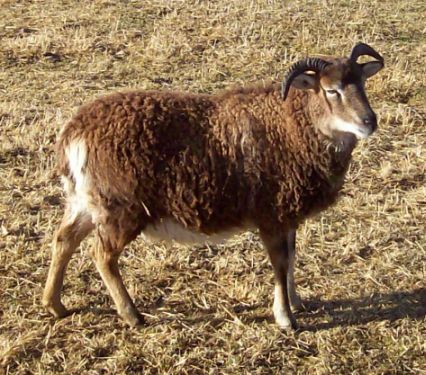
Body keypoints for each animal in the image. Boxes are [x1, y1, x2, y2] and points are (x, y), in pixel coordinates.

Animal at [41, 43, 384, 328]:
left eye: (363, 83)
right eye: (330, 90)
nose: (369, 121)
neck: (290, 128)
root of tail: (73, 134)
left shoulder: (288, 216)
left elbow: (291, 258)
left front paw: (297, 302)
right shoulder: (271, 216)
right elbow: (280, 263)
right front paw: (286, 318)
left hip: (87, 200)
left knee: (64, 240)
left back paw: (55, 305)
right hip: (121, 208)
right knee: (102, 255)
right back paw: (132, 315)